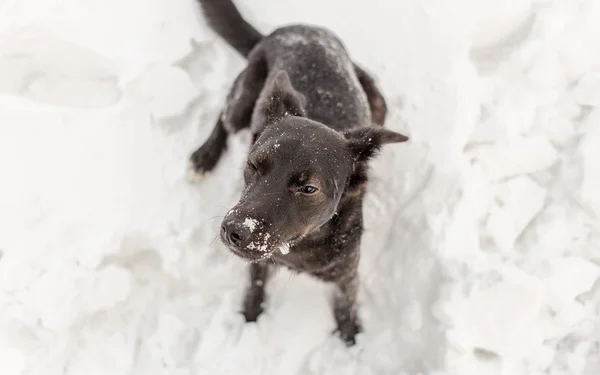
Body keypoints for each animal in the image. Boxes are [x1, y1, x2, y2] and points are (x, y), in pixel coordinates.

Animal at [190, 0, 410, 346]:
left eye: (309, 188)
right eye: (254, 164)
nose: (235, 230)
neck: (300, 245)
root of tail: (293, 29)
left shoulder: (347, 274)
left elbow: (346, 308)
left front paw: (351, 341)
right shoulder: (257, 264)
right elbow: (254, 289)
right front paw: (249, 321)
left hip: (378, 100)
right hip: (243, 100)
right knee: (224, 116)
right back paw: (204, 156)